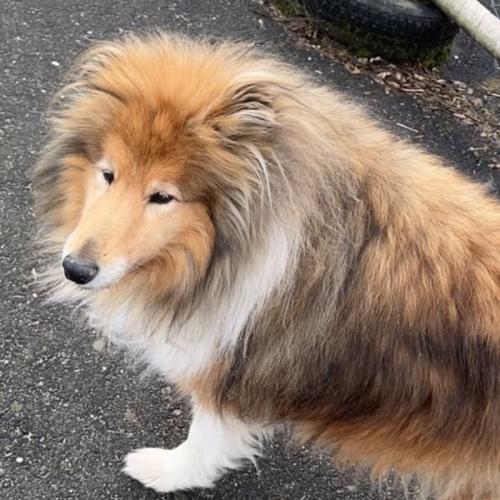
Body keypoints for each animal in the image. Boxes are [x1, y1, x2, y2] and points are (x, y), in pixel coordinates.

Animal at [34, 33, 500, 499]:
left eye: (163, 196)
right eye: (108, 174)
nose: (75, 269)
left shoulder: (230, 372)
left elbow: (206, 437)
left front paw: (166, 471)